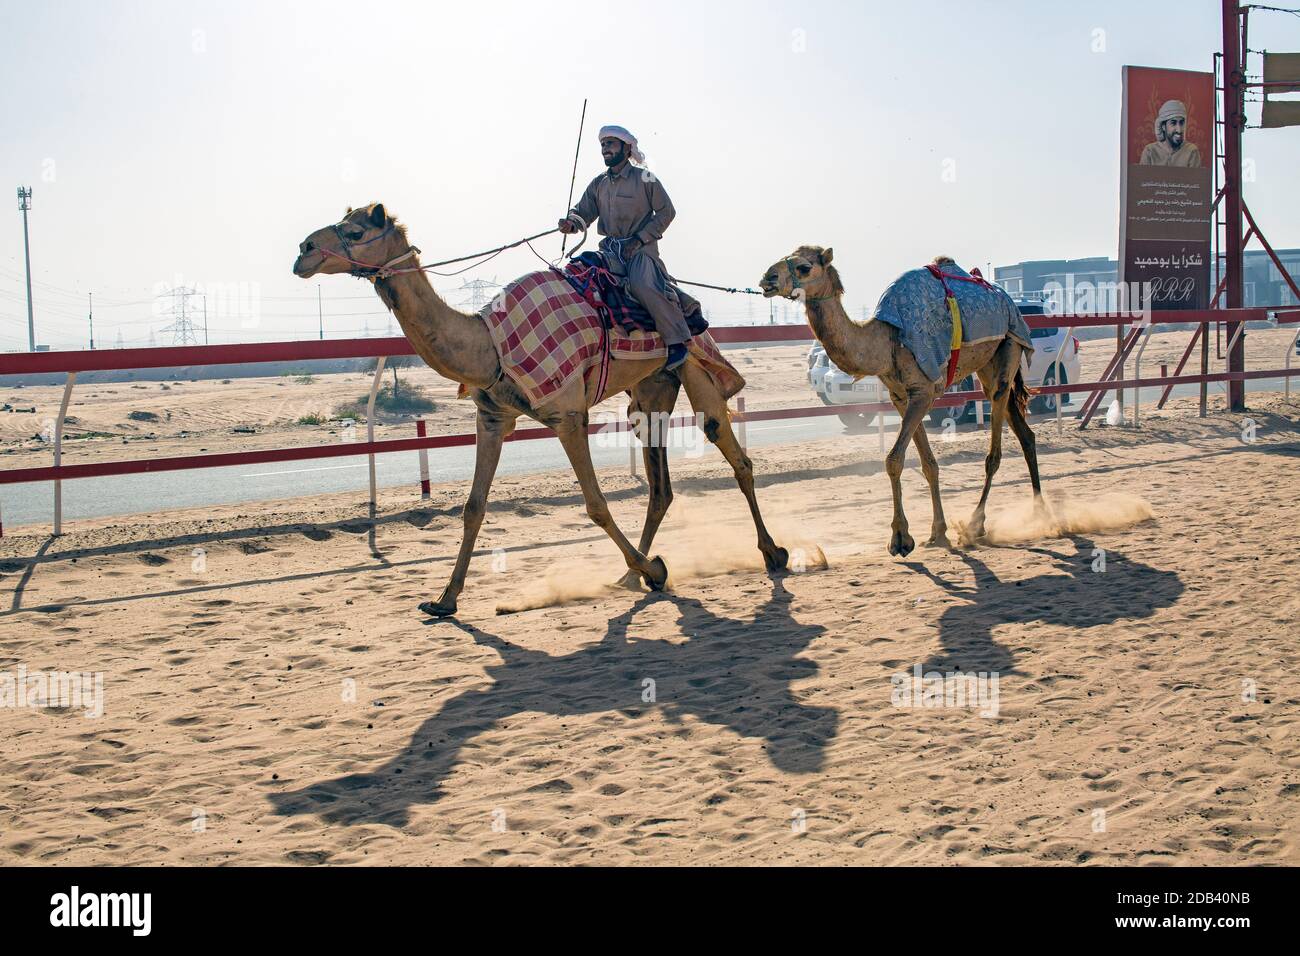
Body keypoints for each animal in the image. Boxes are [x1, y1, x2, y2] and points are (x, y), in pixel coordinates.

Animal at [293, 203, 787, 618]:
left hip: (693, 363)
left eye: (355, 230)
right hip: (651, 390)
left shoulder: (567, 415)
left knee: (729, 449)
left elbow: (596, 505)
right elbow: (473, 507)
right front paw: (444, 600)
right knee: (660, 488)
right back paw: (630, 575)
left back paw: (772, 553)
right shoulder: (492, 417)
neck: (489, 345)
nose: (303, 251)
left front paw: (658, 570)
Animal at [758, 246, 1043, 556]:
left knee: (995, 450)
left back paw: (975, 525)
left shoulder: (923, 391)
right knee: (1024, 432)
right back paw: (1042, 513)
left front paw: (900, 538)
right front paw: (937, 532)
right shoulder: (901, 396)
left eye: (804, 267)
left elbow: (894, 459)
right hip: (989, 365)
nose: (767, 278)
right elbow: (928, 463)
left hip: (1010, 345)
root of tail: (1008, 300)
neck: (886, 341)